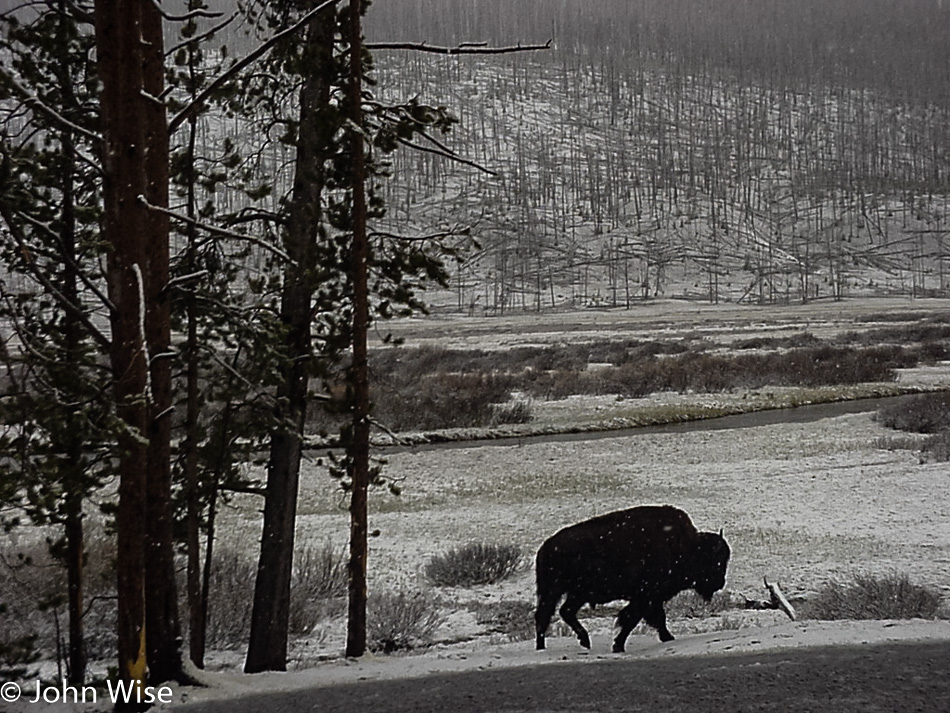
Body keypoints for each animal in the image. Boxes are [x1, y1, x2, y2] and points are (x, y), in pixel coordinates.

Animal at [540, 500, 732, 652]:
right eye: (716, 561)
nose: (720, 583)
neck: (686, 546)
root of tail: (547, 546)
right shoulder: (645, 597)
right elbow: (633, 619)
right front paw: (619, 646)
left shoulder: (651, 598)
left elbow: (654, 619)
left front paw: (667, 638)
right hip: (557, 591)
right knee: (546, 615)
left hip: (575, 593)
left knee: (563, 612)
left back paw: (580, 642)